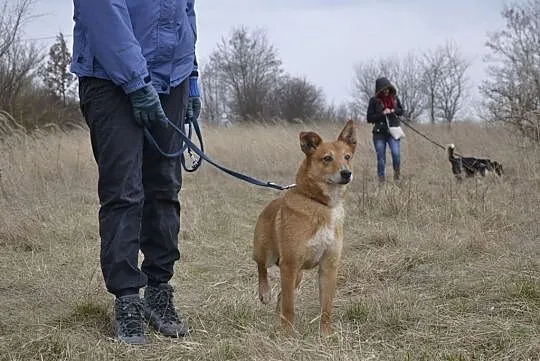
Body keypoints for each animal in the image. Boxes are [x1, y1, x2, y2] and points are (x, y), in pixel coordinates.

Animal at [254, 119, 358, 334]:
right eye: (327, 158)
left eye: (347, 157)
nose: (346, 173)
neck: (320, 204)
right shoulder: (290, 264)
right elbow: (289, 306)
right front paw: (287, 334)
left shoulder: (328, 265)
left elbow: (326, 306)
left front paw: (325, 335)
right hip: (266, 252)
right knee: (261, 267)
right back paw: (265, 293)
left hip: (298, 275)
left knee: (284, 293)